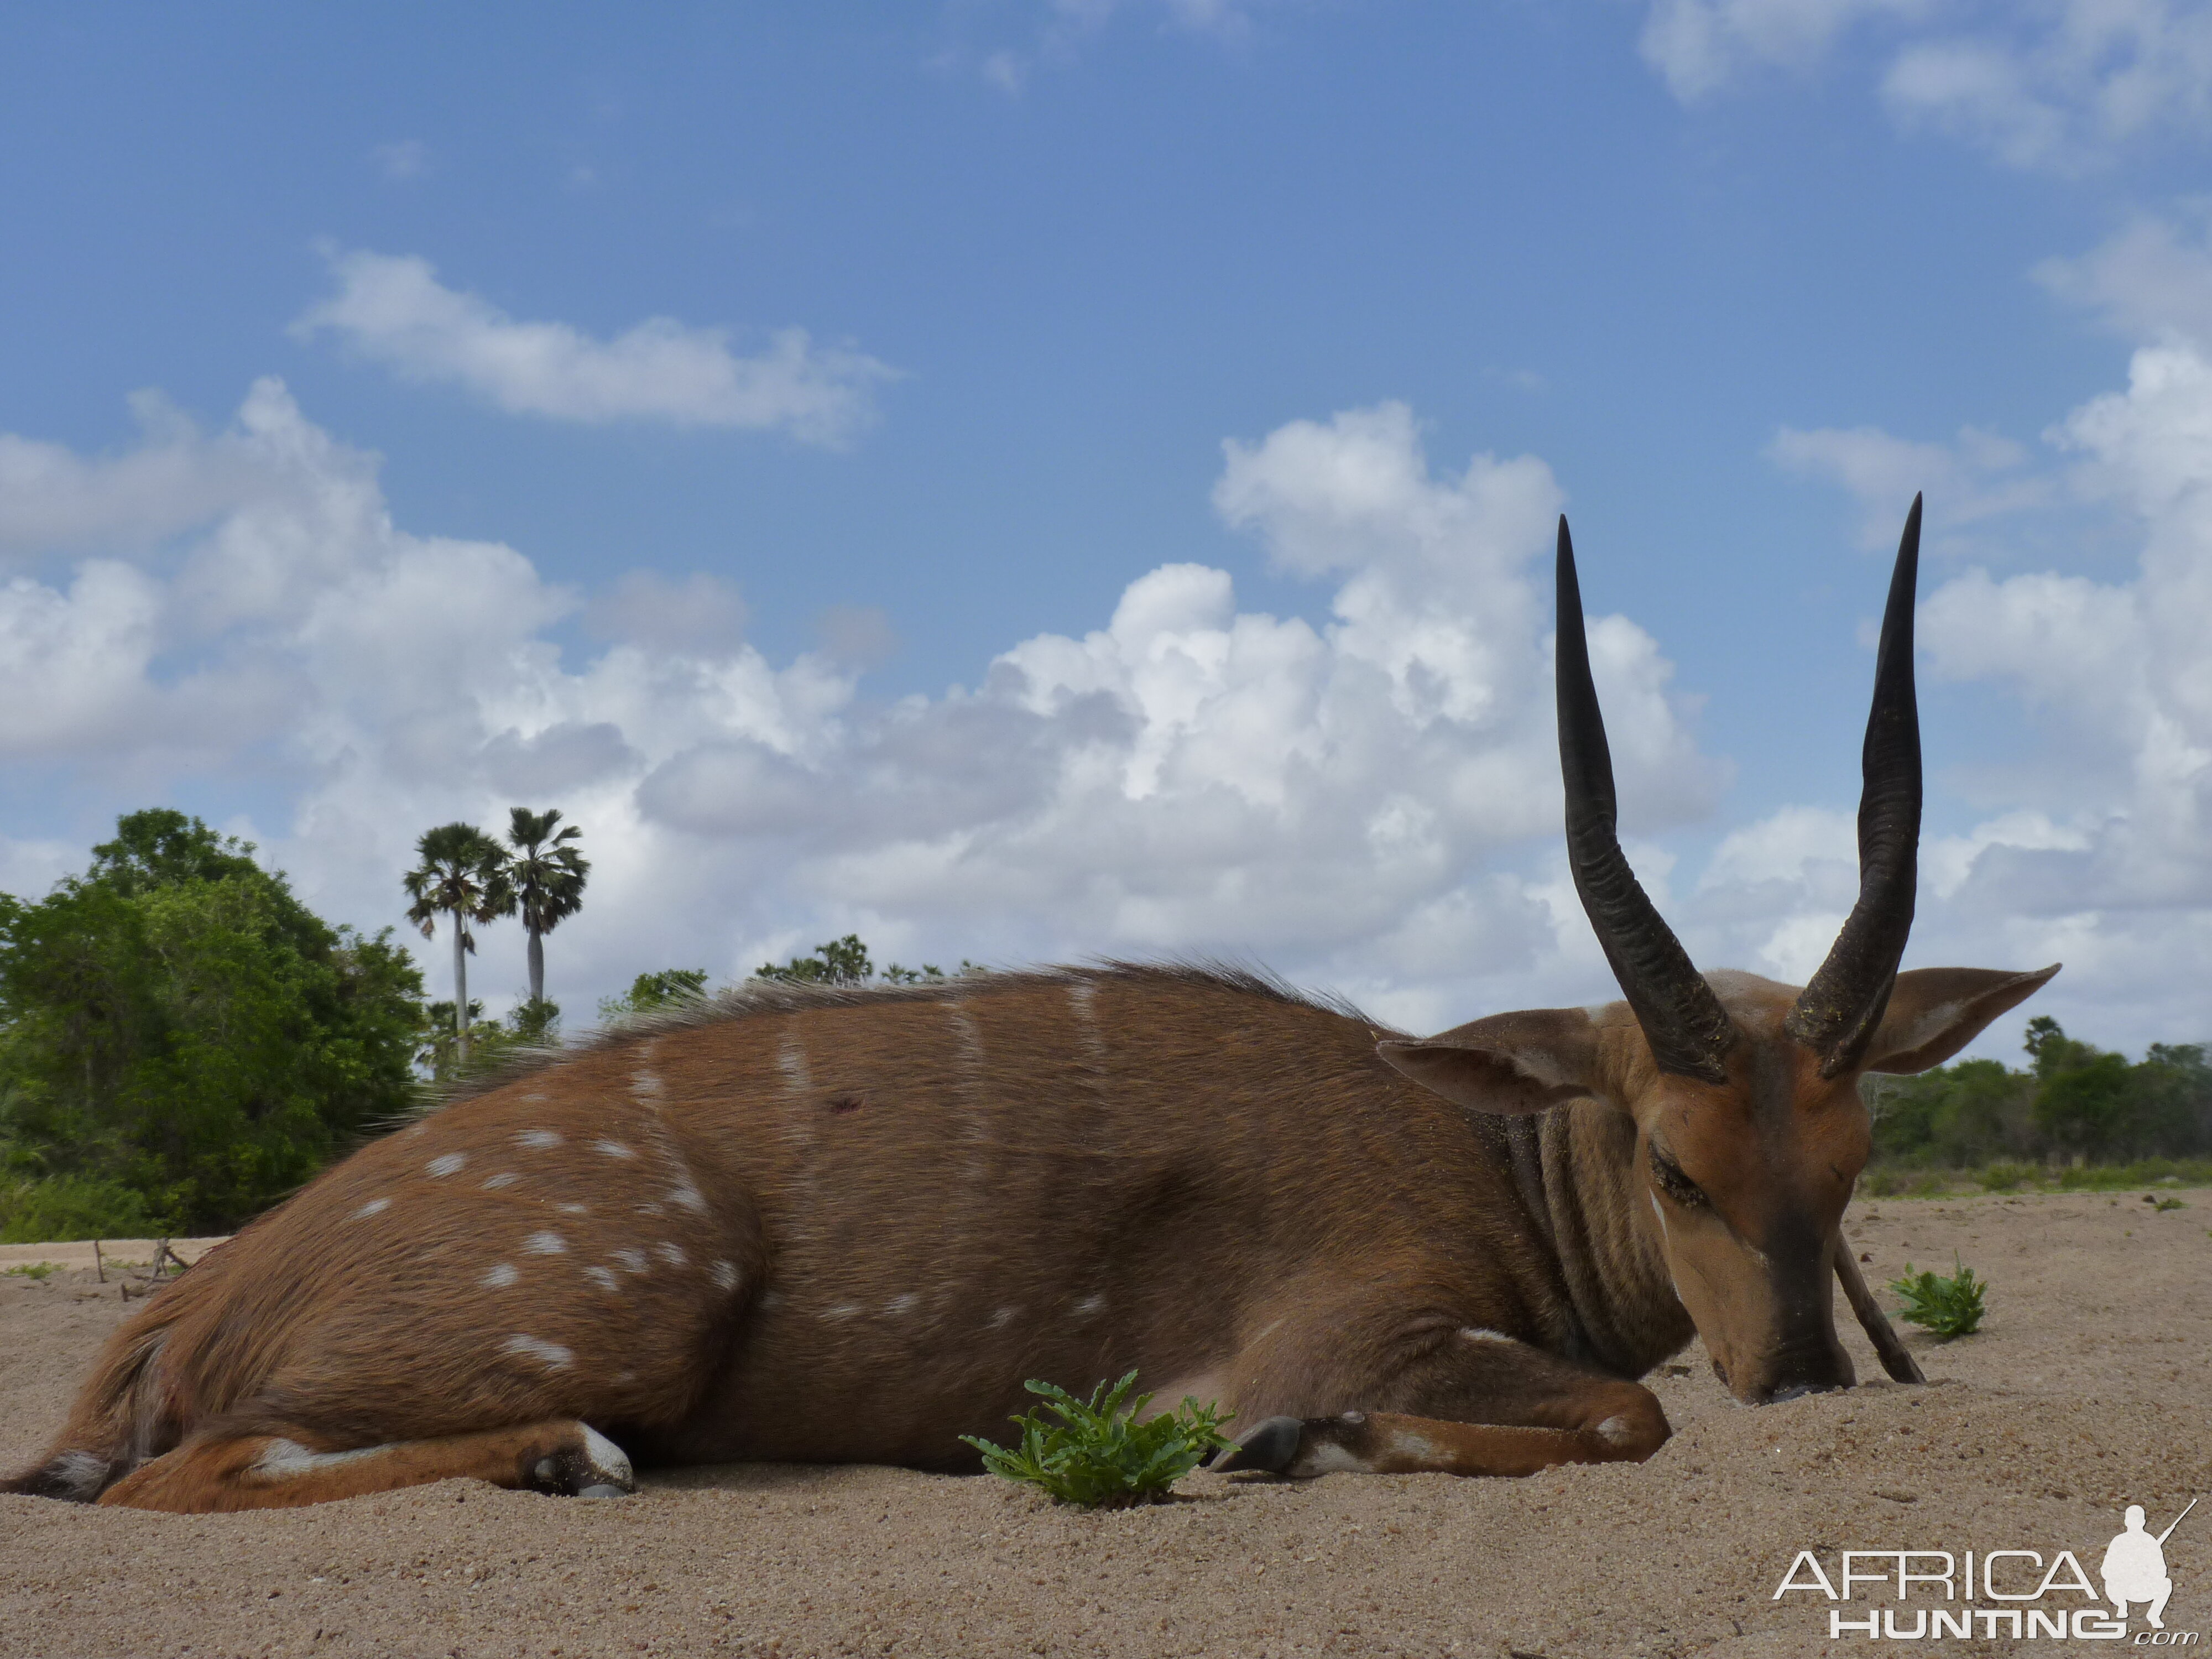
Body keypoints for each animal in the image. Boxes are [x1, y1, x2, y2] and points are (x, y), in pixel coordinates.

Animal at [13, 498, 2053, 1522]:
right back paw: (558, 1457)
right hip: (624, 1307)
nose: (1810, 1380)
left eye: (1851, 1171)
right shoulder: (1340, 1334)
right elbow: (1618, 1418)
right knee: (170, 1475)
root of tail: (205, 1287)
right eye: (1674, 1165)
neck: (1485, 1150)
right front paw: (1296, 1452)